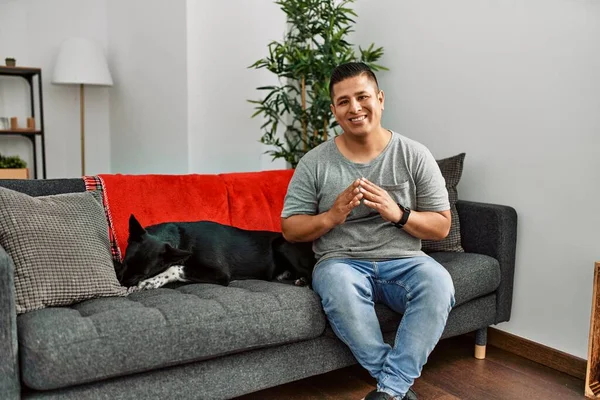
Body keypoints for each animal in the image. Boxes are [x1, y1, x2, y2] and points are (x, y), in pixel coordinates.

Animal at [115, 217, 316, 290]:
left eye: (143, 273)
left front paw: (150, 282)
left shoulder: (220, 273)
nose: (121, 284)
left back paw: (303, 280)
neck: (181, 237)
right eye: (124, 262)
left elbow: (176, 268)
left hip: (282, 244)